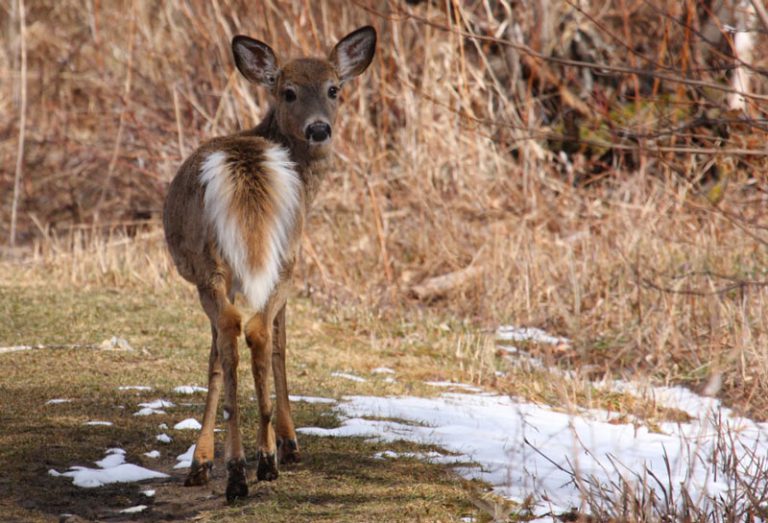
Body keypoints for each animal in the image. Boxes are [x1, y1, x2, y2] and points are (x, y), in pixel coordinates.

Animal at [164, 27, 376, 504]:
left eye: (334, 89)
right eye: (288, 91)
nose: (319, 128)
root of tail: (248, 165)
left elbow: (223, 357)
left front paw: (206, 460)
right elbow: (280, 345)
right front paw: (288, 442)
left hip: (219, 265)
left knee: (235, 331)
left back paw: (245, 467)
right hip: (281, 259)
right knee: (256, 332)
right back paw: (256, 463)